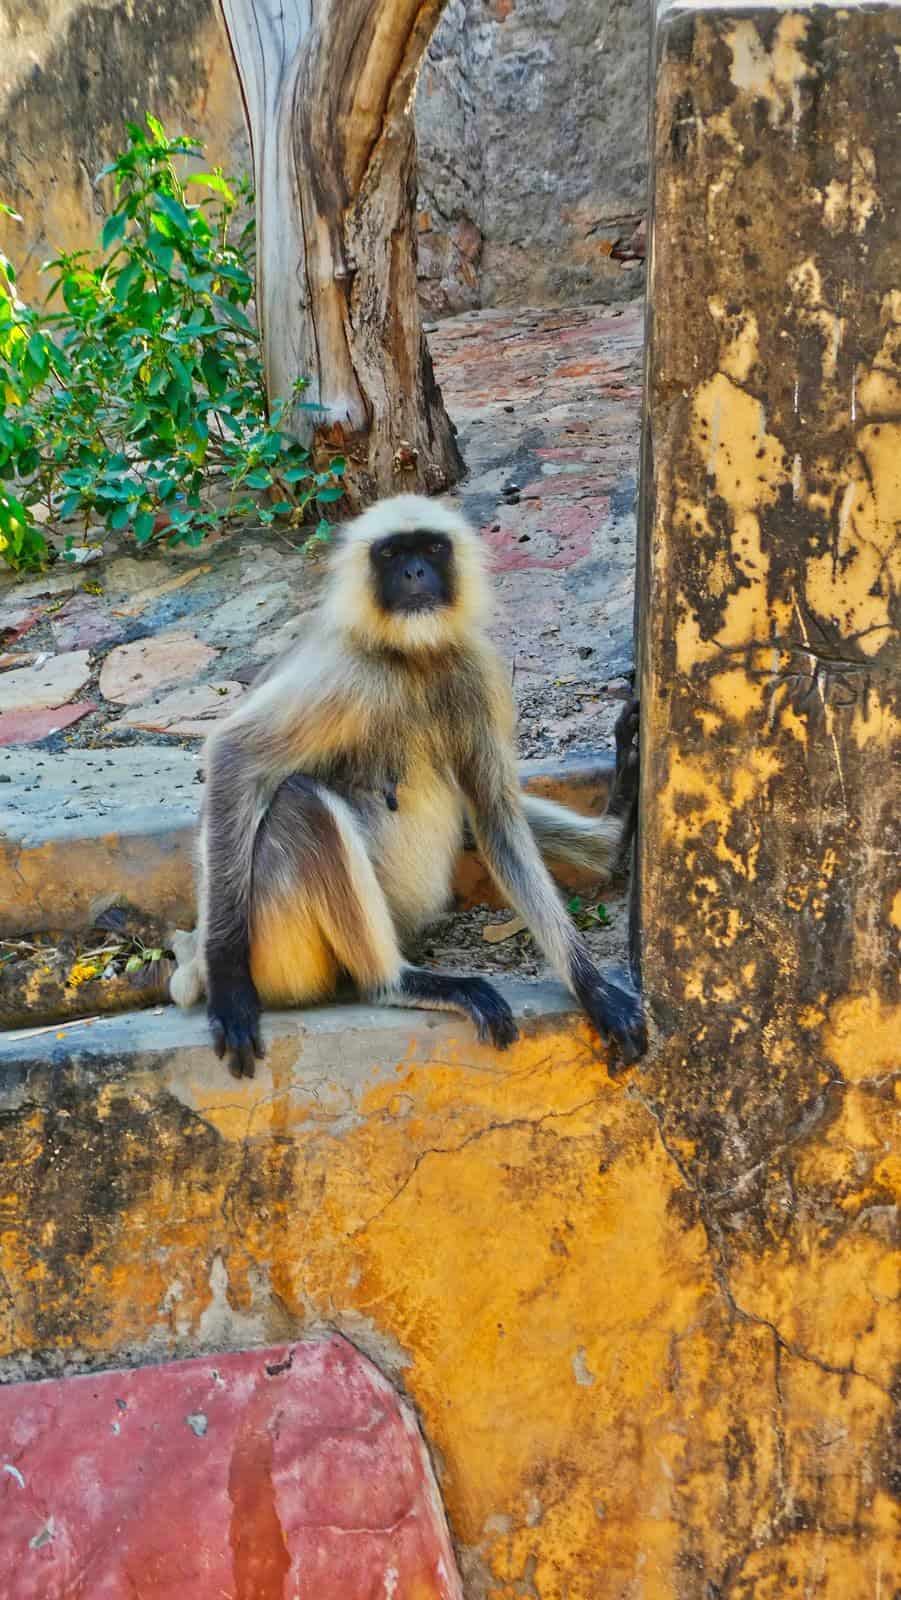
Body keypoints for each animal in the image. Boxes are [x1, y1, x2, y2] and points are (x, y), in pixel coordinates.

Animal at [171, 492, 649, 1081]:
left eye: (431, 548)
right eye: (393, 553)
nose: (415, 572)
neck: (412, 657)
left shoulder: (475, 669)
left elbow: (494, 813)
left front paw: (593, 988)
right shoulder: (347, 670)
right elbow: (234, 757)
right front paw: (230, 989)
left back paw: (613, 832)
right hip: (275, 950)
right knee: (299, 801)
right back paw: (394, 982)